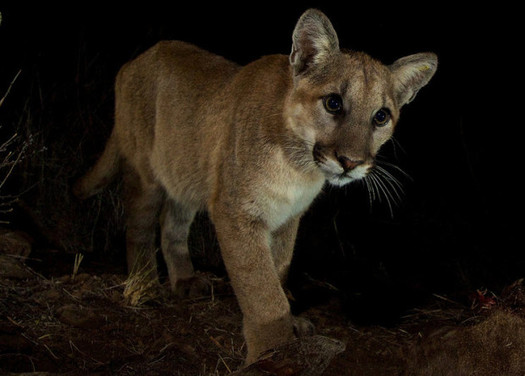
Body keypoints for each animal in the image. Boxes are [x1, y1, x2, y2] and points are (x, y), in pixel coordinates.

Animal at [72, 8, 434, 364]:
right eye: (333, 103)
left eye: (381, 116)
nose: (350, 162)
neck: (299, 167)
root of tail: (134, 61)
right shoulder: (236, 211)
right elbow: (261, 287)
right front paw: (272, 349)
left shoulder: (288, 217)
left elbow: (278, 268)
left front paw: (290, 327)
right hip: (144, 172)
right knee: (139, 227)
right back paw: (144, 285)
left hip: (186, 173)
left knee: (171, 224)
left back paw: (185, 281)